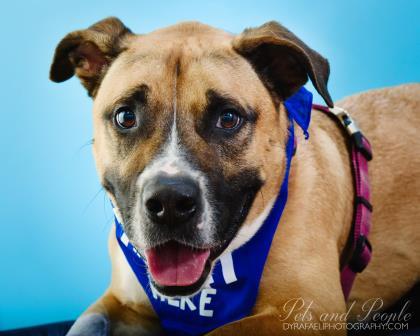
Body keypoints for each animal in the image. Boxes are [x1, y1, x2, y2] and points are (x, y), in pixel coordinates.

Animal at [50, 18, 420, 336]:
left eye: (228, 118)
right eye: (126, 117)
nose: (169, 203)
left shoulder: (308, 312)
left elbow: (219, 332)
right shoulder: (119, 300)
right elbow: (84, 325)